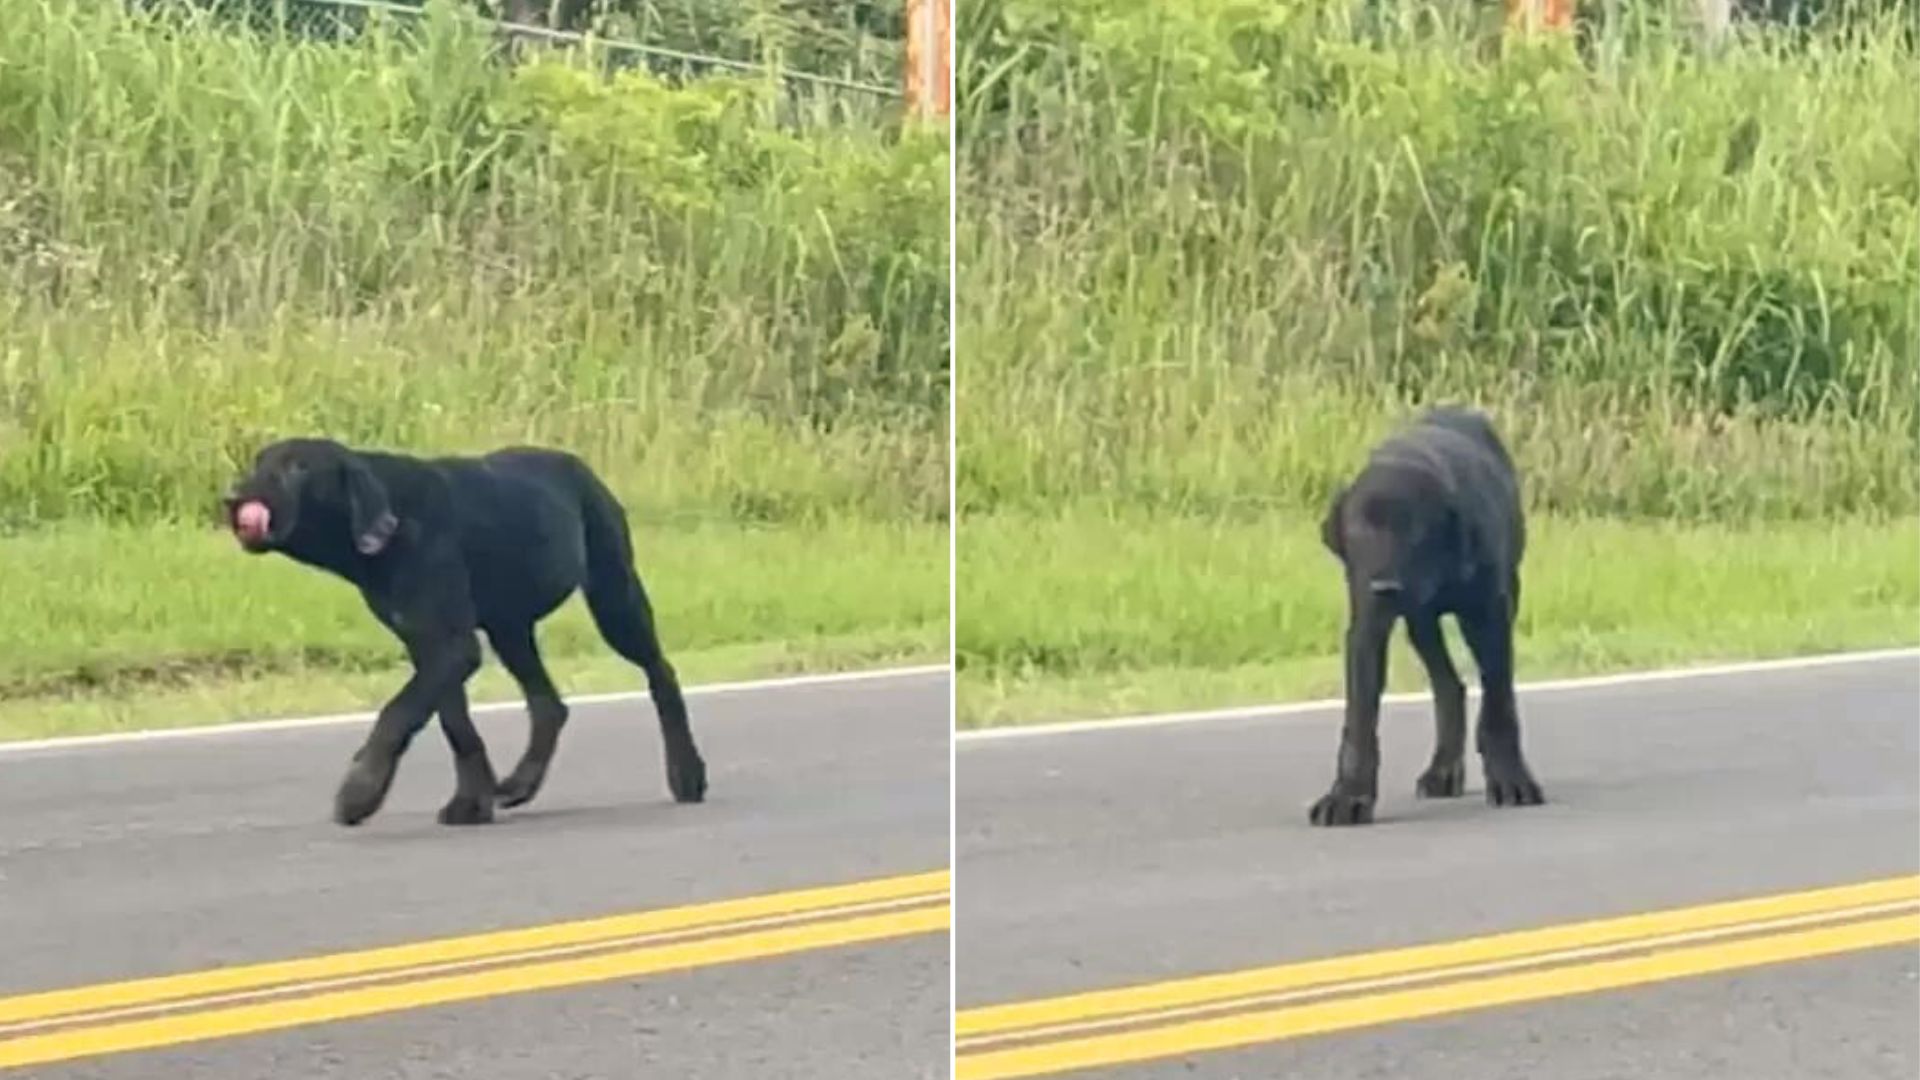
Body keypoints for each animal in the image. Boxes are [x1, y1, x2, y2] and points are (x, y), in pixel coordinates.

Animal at [224, 438, 706, 822]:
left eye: (298, 467)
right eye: (258, 461)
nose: (232, 499)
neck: (392, 526)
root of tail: (580, 466)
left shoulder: (453, 646)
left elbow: (397, 712)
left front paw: (360, 791)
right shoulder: (430, 645)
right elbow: (456, 726)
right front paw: (470, 802)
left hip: (614, 598)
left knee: (661, 674)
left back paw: (687, 773)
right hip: (510, 628)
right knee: (548, 705)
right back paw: (520, 783)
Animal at [1313, 405, 1536, 822]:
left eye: (1415, 531)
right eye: (1360, 530)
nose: (1384, 587)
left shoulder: (1490, 617)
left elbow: (1499, 705)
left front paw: (1512, 780)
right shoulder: (1367, 629)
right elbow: (1360, 719)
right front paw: (1348, 797)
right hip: (1420, 625)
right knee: (1449, 686)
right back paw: (1443, 771)